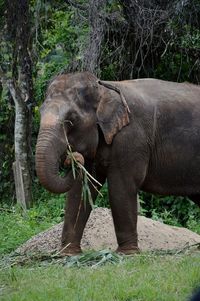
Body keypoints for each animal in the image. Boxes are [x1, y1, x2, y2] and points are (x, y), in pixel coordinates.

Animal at [36, 71, 200, 254]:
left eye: (71, 120)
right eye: (40, 112)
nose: (72, 157)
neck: (104, 88)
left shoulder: (131, 137)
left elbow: (121, 185)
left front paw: (127, 253)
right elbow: (81, 189)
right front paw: (68, 253)